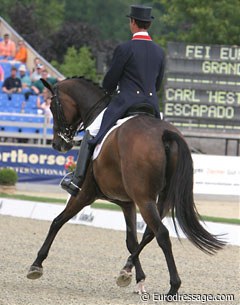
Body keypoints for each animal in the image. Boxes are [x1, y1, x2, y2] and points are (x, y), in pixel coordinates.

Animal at [26, 76, 225, 294]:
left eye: (52, 106)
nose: (58, 144)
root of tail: (164, 133)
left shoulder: (83, 195)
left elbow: (57, 221)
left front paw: (36, 265)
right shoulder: (127, 203)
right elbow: (131, 240)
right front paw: (136, 277)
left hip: (144, 199)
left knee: (162, 234)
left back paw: (173, 286)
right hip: (162, 199)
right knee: (150, 233)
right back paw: (128, 269)